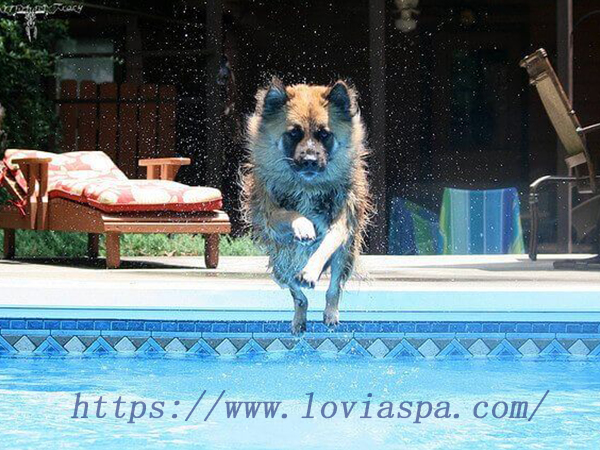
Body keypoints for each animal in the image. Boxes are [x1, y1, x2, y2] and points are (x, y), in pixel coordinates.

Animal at [241, 80, 368, 334]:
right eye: (293, 133)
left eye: (324, 134)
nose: (309, 160)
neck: (307, 186)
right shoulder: (272, 215)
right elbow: (289, 213)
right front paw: (304, 226)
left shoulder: (342, 222)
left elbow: (328, 241)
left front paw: (310, 271)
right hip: (281, 264)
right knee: (299, 297)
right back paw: (299, 318)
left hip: (344, 256)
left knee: (333, 289)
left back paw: (330, 313)